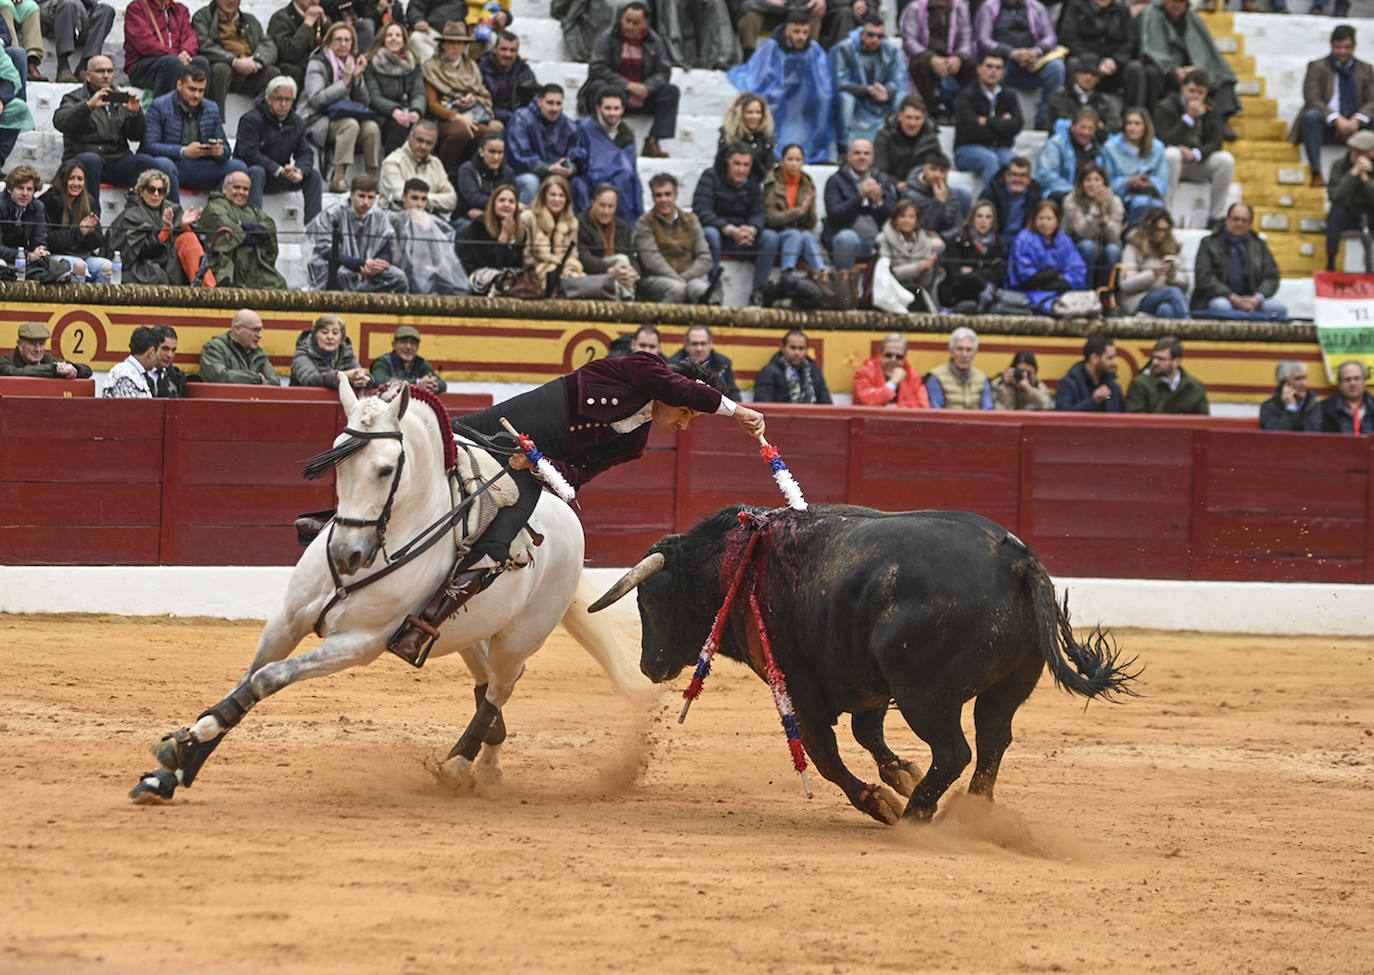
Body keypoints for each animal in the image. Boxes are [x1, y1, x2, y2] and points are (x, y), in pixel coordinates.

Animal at [129, 381, 643, 801]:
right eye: (336, 461)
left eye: (385, 469)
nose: (345, 555)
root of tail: (568, 515)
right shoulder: (286, 621)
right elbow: (247, 678)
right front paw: (173, 768)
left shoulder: (361, 643)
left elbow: (265, 679)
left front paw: (185, 746)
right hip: (469, 633)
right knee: (493, 685)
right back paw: (488, 761)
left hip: (521, 636)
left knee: (500, 685)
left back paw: (456, 766)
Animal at [590, 508, 1137, 829]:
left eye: (650, 599)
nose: (649, 665)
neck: (737, 565)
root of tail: (1017, 561)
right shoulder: (865, 686)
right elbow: (867, 735)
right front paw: (901, 775)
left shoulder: (799, 693)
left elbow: (826, 758)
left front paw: (882, 801)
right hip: (1008, 686)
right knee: (993, 740)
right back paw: (973, 811)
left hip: (924, 695)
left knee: (955, 751)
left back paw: (916, 815)